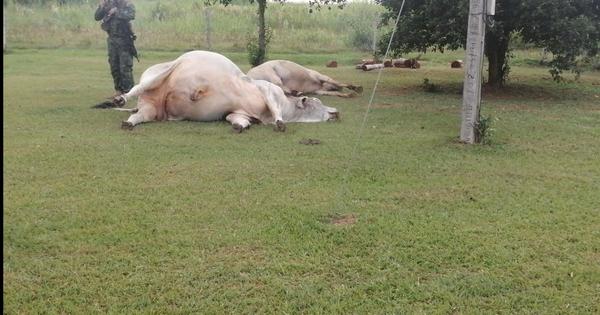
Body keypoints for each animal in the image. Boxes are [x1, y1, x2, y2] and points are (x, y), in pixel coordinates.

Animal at [110, 51, 340, 132]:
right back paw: (120, 99)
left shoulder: (236, 112)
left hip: (152, 109)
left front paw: (240, 127)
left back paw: (128, 123)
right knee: (136, 88)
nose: (337, 112)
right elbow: (276, 110)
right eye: (316, 103)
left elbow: (236, 119)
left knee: (141, 115)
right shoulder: (268, 89)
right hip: (161, 73)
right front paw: (280, 123)